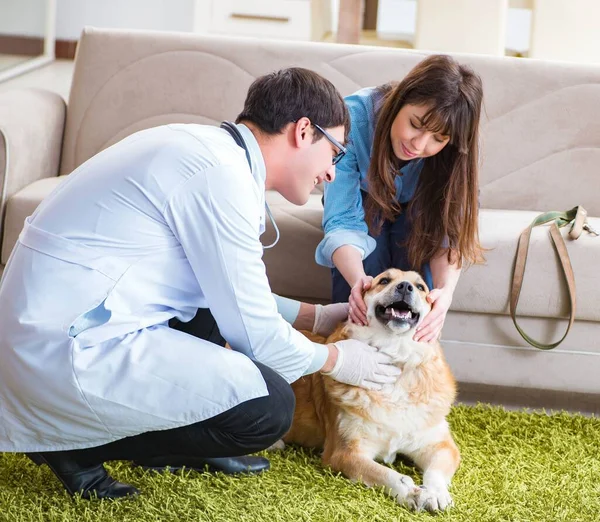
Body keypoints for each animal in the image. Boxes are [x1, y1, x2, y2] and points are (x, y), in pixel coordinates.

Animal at [276, 268, 460, 508]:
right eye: (384, 280)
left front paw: (435, 492)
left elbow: (435, 472)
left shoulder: (441, 445)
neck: (396, 358)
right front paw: (410, 492)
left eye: (421, 287)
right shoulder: (345, 453)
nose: (405, 287)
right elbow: (389, 475)